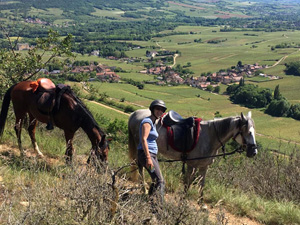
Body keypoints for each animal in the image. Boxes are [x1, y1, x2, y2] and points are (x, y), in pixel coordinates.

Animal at [127, 109, 256, 206]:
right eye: (248, 132)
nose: (254, 152)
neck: (209, 137)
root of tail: (135, 113)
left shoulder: (204, 166)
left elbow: (201, 184)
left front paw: (201, 203)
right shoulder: (192, 164)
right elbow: (188, 183)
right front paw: (183, 200)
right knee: (140, 167)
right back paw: (144, 189)